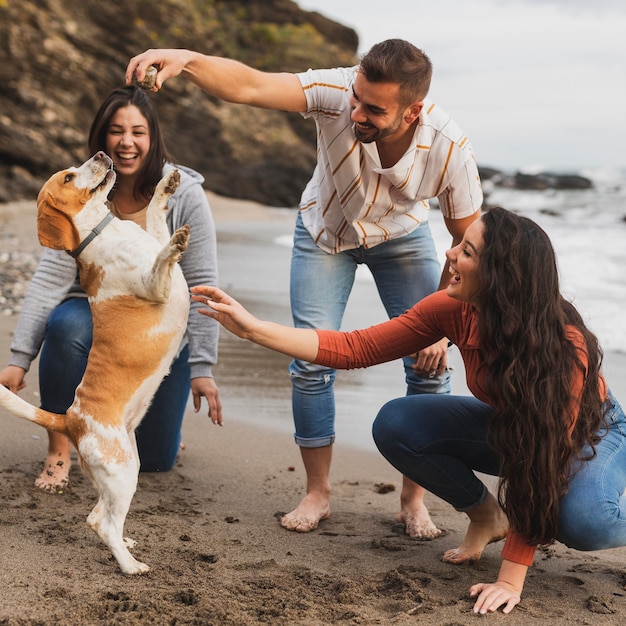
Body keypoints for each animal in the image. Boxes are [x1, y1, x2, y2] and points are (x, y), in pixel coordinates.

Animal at [0, 150, 190, 572]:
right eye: (69, 177)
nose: (103, 154)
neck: (104, 230)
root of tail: (68, 419)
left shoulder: (151, 240)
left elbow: (157, 219)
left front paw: (165, 187)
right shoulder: (156, 284)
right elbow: (163, 256)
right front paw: (176, 242)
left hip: (125, 469)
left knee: (99, 515)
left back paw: (128, 543)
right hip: (122, 473)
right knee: (101, 523)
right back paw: (130, 565)